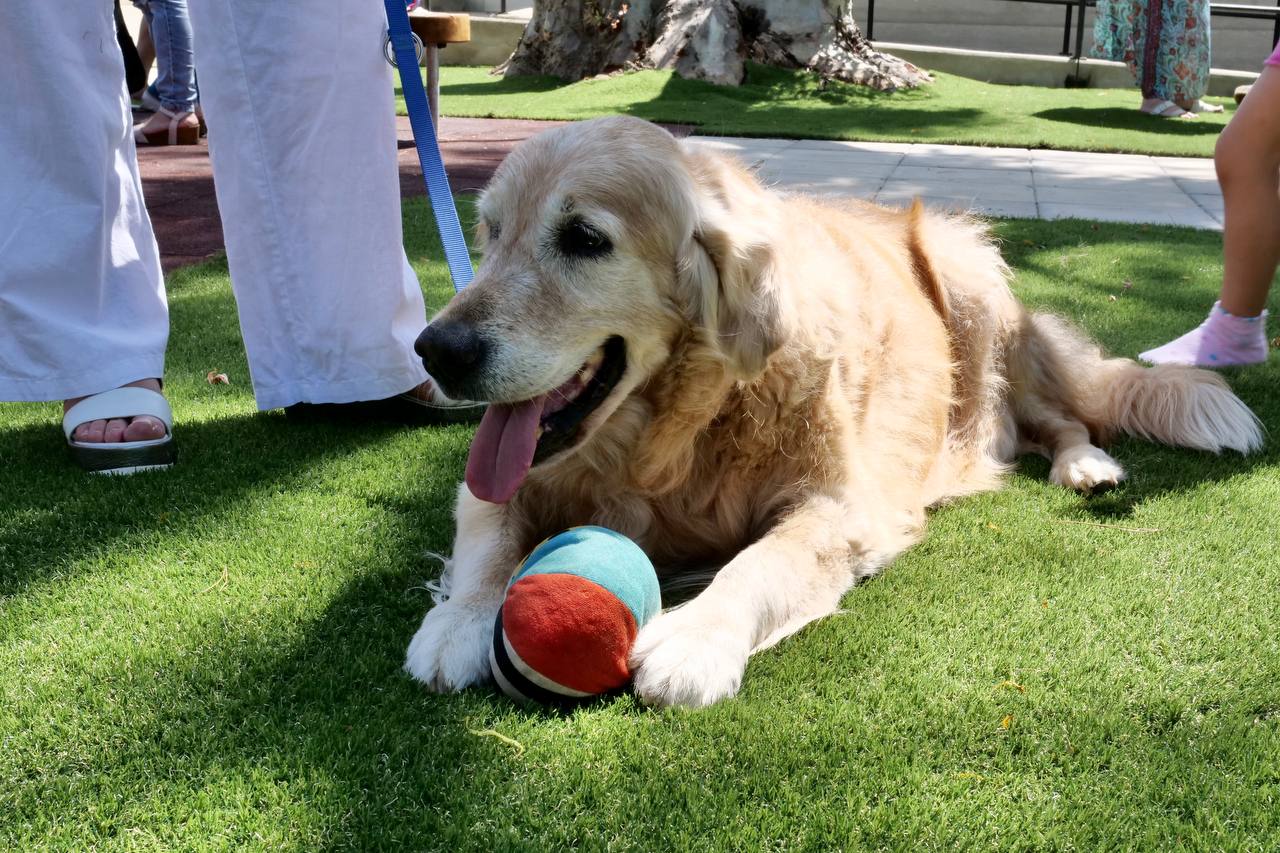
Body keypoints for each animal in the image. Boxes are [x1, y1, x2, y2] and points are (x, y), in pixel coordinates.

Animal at [404, 116, 1264, 706]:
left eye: (584, 238)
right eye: (491, 231)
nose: (435, 349)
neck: (673, 436)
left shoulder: (840, 505)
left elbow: (762, 561)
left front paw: (697, 637)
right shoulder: (505, 481)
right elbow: (486, 539)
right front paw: (459, 623)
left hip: (975, 290)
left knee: (1057, 418)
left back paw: (1084, 465)